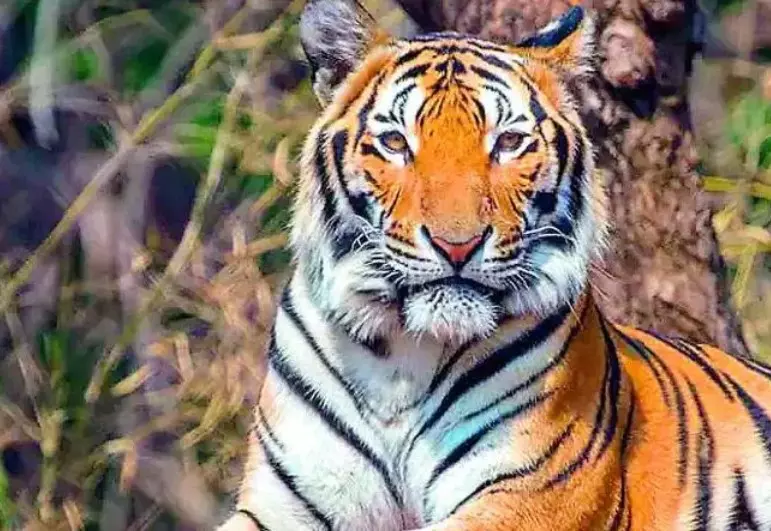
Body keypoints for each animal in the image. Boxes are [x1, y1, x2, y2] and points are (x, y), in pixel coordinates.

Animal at [217, 2, 771, 530]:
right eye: (396, 143)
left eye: (508, 143)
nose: (457, 245)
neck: (400, 358)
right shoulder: (280, 504)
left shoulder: (533, 494)